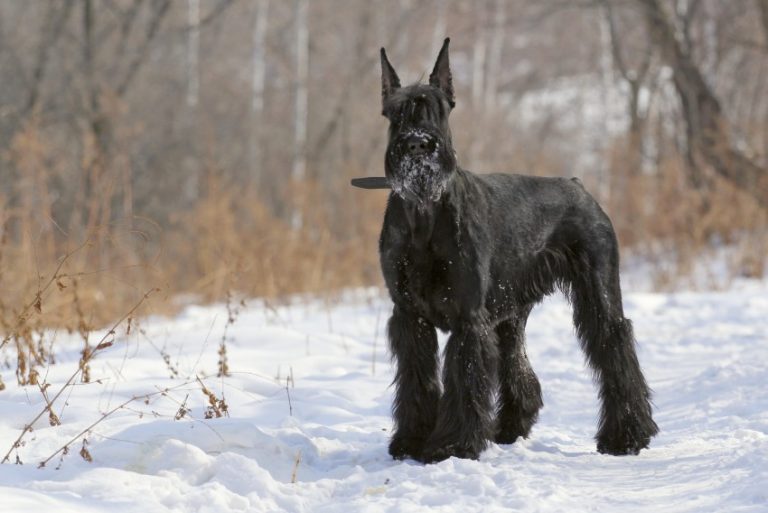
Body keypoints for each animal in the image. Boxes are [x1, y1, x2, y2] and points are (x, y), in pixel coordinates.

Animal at [376, 41, 656, 464]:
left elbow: (464, 379)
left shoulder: (468, 319)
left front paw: (452, 445)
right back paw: (510, 427)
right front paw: (411, 440)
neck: (424, 214)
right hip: (510, 314)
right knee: (519, 366)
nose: (417, 144)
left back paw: (626, 436)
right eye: (395, 113)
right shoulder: (411, 317)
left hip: (597, 295)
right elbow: (417, 381)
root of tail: (580, 186)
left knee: (615, 347)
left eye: (437, 110)